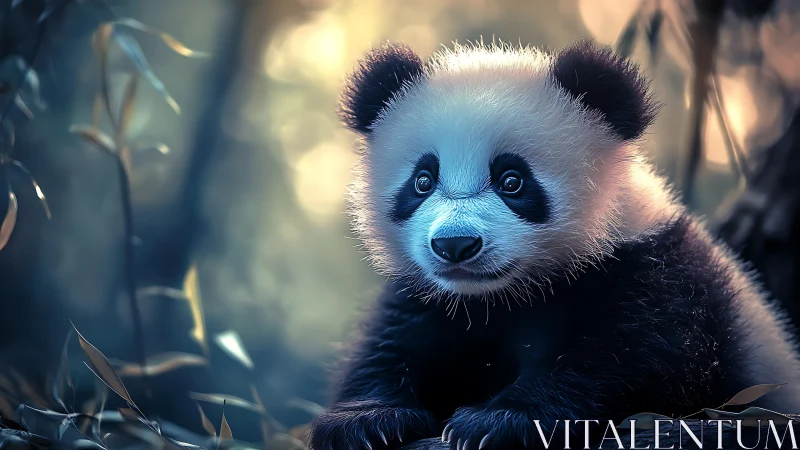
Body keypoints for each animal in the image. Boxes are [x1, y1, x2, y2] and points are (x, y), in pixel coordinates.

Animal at [309, 40, 800, 450]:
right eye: (423, 180)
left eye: (512, 180)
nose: (456, 244)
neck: (501, 296)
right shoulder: (428, 299)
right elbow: (388, 347)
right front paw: (365, 420)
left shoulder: (651, 274)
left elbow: (626, 362)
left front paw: (496, 422)